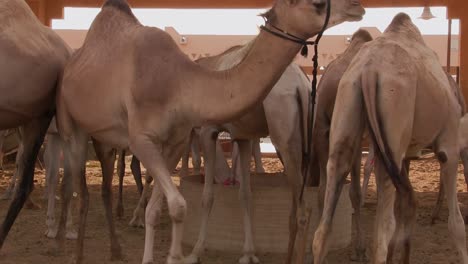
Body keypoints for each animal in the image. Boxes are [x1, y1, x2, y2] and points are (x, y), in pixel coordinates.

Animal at [54, 0, 362, 262]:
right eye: (316, 3)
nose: (357, 6)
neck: (182, 83)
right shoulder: (144, 139)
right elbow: (182, 204)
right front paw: (184, 254)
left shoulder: (175, 142)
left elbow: (162, 208)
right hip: (72, 124)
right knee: (76, 186)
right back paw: (74, 250)